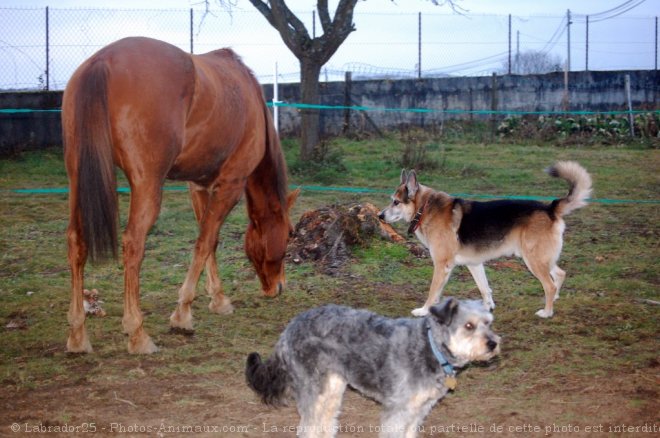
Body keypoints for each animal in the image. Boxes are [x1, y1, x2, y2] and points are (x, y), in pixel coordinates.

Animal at [62, 36, 300, 354]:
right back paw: (137, 333)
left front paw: (218, 299)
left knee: (77, 242)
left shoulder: (198, 186)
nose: (279, 287)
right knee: (133, 244)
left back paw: (77, 334)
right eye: (289, 233)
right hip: (148, 186)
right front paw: (183, 314)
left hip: (76, 179)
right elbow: (204, 242)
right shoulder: (230, 186)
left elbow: (210, 241)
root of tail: (102, 61)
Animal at [248, 298, 500, 438]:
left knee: (325, 424)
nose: (493, 343)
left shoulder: (419, 410)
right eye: (469, 326)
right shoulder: (398, 411)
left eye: (488, 323)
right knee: (307, 429)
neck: (430, 347)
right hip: (312, 392)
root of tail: (289, 328)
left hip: (332, 390)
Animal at [382, 163, 592, 320]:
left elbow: (433, 292)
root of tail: (550, 209)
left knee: (549, 285)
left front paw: (424, 310)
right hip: (541, 258)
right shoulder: (474, 264)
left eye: (396, 202)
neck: (424, 208)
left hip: (533, 260)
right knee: (560, 274)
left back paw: (547, 312)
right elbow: (485, 288)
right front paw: (488, 307)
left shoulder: (442, 265)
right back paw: (555, 299)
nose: (379, 216)